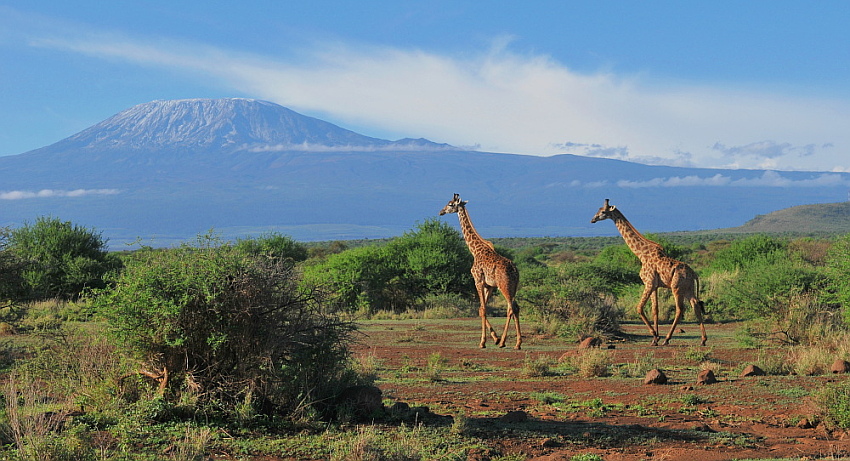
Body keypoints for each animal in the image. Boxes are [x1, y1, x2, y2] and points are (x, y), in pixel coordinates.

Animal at [440, 192, 520, 346]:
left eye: (450, 204)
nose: (441, 212)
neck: (475, 250)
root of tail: (515, 271)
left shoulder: (478, 281)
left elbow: (482, 309)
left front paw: (483, 342)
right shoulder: (489, 286)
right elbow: (481, 308)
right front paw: (495, 337)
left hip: (504, 286)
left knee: (511, 308)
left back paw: (506, 342)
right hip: (513, 287)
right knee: (515, 308)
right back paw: (516, 343)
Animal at [588, 198, 704, 344]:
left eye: (603, 211)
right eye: (598, 210)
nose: (592, 219)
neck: (641, 254)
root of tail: (694, 274)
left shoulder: (648, 283)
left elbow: (639, 307)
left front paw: (655, 335)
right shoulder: (654, 286)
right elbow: (655, 309)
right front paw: (655, 339)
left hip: (676, 287)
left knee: (680, 309)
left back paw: (667, 339)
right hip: (688, 288)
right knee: (695, 304)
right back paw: (703, 340)